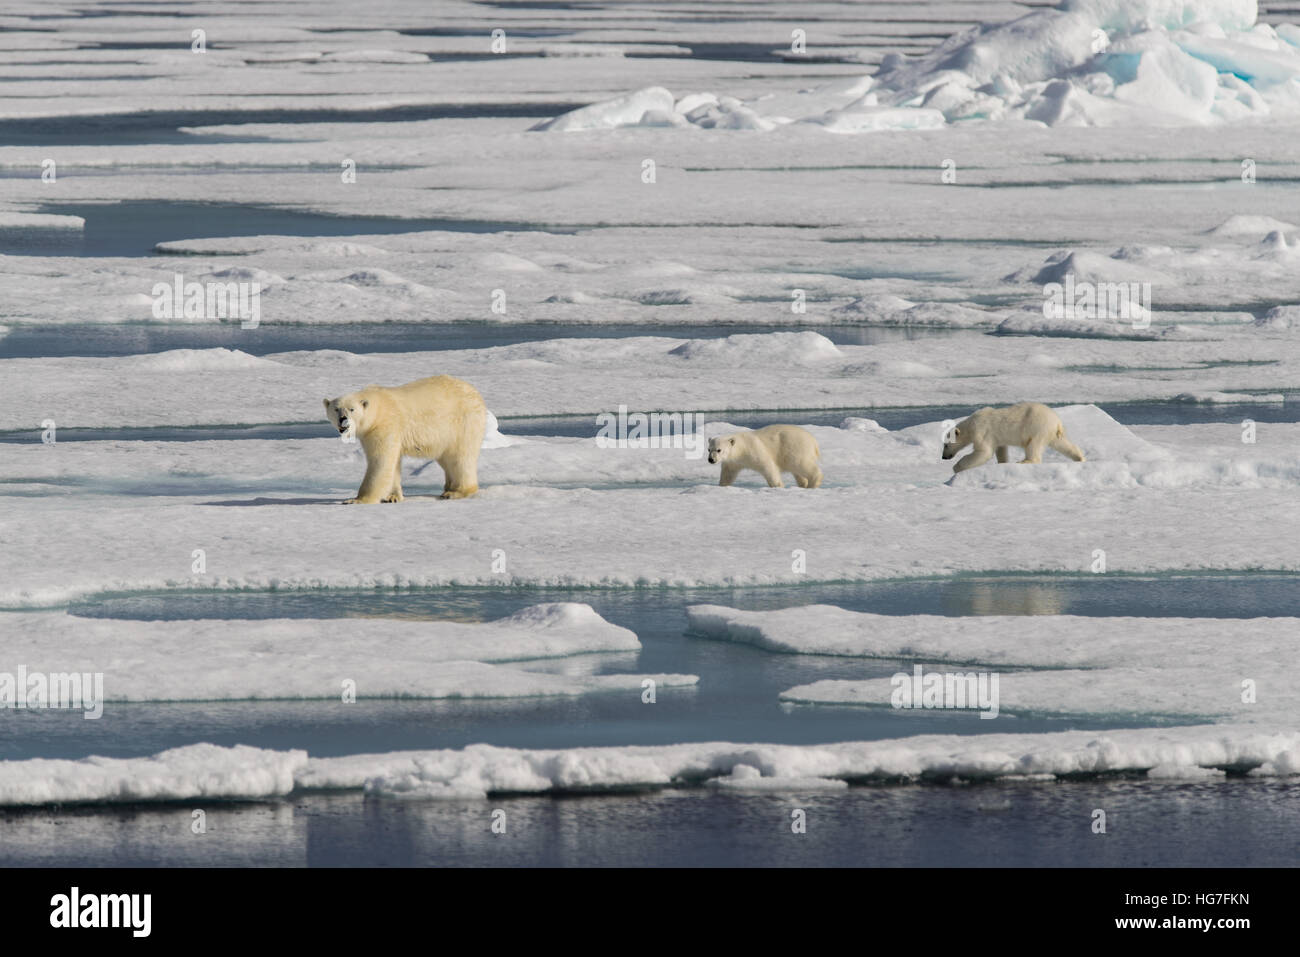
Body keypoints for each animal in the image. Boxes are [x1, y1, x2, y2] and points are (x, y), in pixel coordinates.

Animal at [323, 374, 487, 503]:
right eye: (336, 409)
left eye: (352, 409)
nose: (343, 420)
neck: (378, 407)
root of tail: (476, 394)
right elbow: (393, 463)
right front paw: (392, 497)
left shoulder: (384, 425)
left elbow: (380, 460)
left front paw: (357, 499)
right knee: (447, 458)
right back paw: (448, 487)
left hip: (463, 423)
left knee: (460, 457)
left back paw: (455, 492)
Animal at [941, 402, 1085, 473]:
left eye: (946, 445)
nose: (943, 457)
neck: (971, 424)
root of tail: (1057, 421)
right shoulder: (996, 438)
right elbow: (1001, 450)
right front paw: (1002, 462)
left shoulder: (982, 432)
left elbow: (984, 452)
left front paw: (956, 468)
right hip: (1052, 433)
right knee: (1063, 444)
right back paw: (1080, 458)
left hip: (1037, 427)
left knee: (1033, 446)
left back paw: (1024, 461)